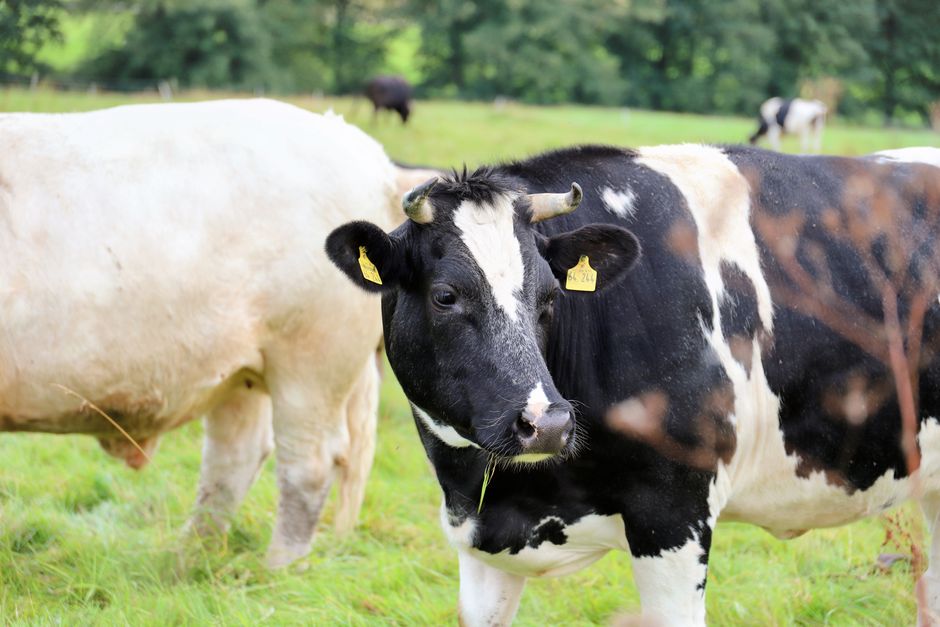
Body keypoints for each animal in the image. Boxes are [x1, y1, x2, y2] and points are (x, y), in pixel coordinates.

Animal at [0, 98, 408, 568]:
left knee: (309, 463)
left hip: (311, 361)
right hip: (244, 370)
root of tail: (354, 142)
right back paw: (189, 560)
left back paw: (277, 569)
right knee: (234, 457)